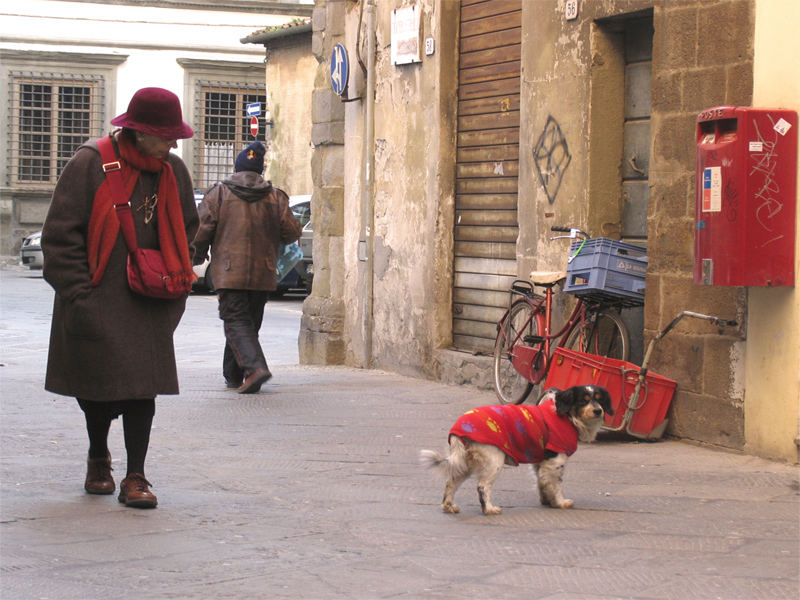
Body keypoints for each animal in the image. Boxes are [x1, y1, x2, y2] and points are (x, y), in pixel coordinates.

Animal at [418, 386, 612, 512]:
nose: (598, 411)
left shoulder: (540, 462)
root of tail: (457, 429)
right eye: (583, 401)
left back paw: (448, 506)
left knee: (451, 482)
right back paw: (489, 509)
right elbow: (556, 485)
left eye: (599, 399)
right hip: (494, 461)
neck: (567, 417)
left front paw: (546, 501)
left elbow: (542, 482)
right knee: (482, 487)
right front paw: (560, 503)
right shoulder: (555, 461)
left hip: (464, 462)